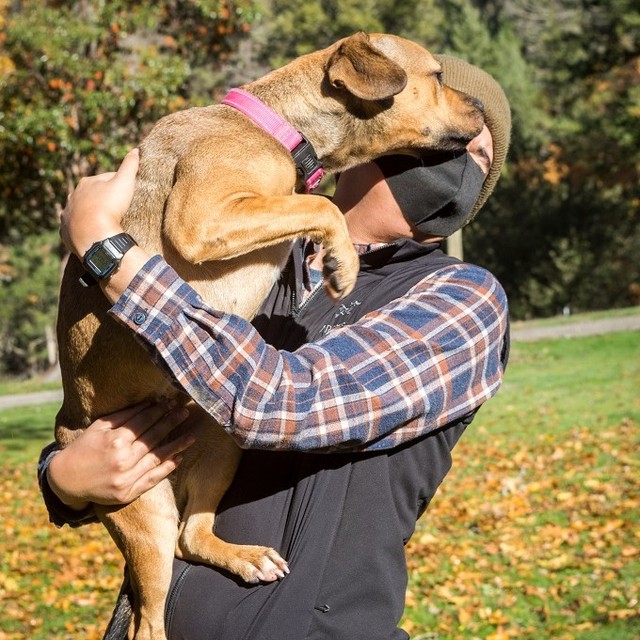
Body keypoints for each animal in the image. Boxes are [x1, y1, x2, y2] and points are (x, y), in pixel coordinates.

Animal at [56, 31, 484, 640]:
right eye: (438, 75)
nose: (481, 108)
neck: (278, 128)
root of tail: (68, 421)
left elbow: (313, 203)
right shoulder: (204, 217)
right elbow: (321, 204)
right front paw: (344, 263)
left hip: (222, 447)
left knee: (193, 536)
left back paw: (244, 557)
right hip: (144, 513)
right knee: (149, 616)